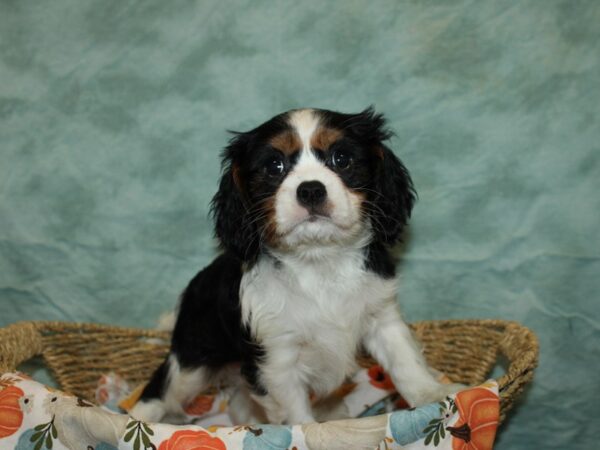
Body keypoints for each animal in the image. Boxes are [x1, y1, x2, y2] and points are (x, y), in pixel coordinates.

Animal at [131, 107, 462, 424]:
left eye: (342, 159)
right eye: (274, 166)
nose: (311, 189)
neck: (318, 260)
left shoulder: (382, 317)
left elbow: (405, 360)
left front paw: (432, 394)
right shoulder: (277, 360)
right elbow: (296, 415)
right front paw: (309, 432)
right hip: (192, 358)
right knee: (160, 391)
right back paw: (134, 422)